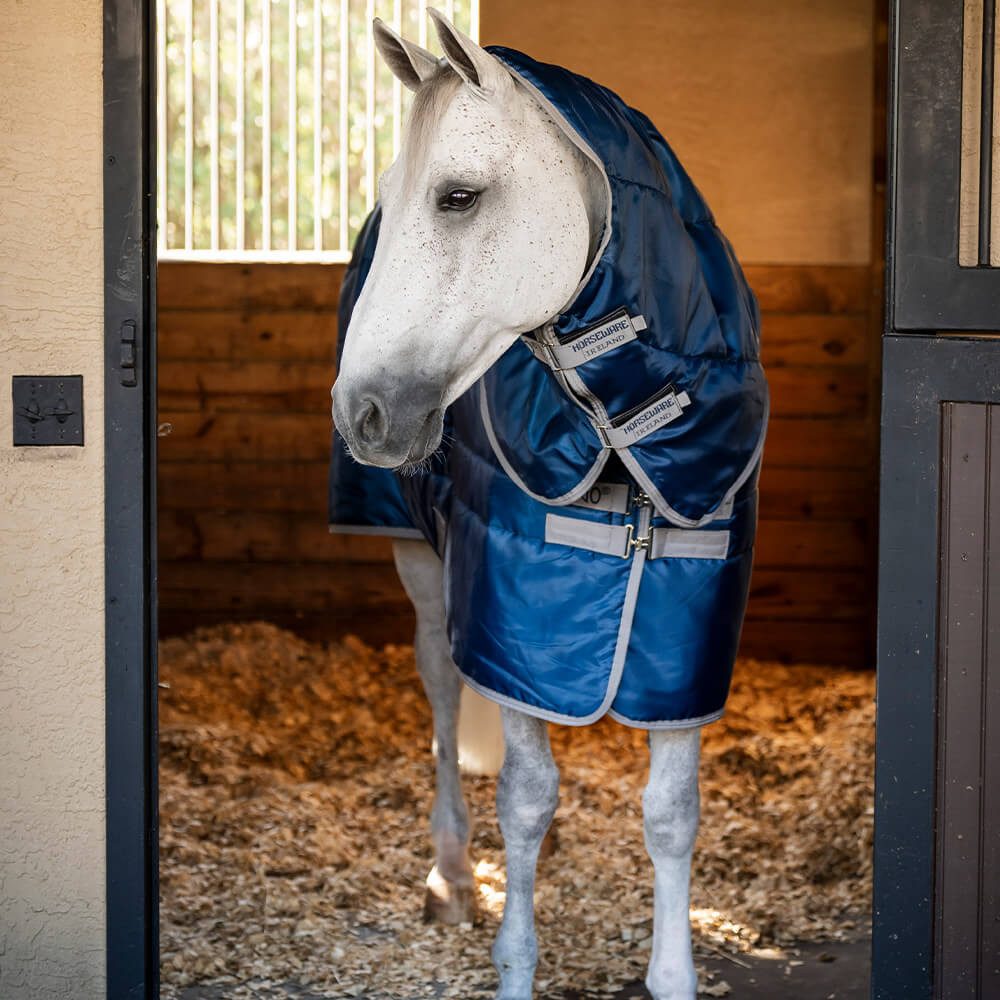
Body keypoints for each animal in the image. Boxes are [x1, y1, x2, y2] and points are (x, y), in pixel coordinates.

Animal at [331, 11, 765, 999]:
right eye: (393, 198)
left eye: (457, 197)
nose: (359, 411)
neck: (623, 431)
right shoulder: (515, 631)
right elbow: (524, 800)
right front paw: (514, 958)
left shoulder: (684, 647)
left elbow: (672, 814)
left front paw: (671, 971)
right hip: (424, 564)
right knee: (444, 694)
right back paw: (454, 874)